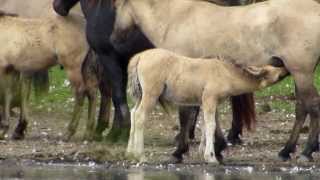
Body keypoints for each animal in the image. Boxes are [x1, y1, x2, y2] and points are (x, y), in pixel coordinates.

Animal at [0, 10, 111, 141]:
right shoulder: (10, 69)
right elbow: (9, 95)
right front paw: (10, 130)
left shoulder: (4, 68)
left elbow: (4, 96)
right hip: (87, 67)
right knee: (92, 92)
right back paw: (88, 133)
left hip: (72, 67)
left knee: (80, 92)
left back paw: (69, 132)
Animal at [127, 47, 288, 163]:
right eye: (271, 71)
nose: (285, 69)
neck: (226, 73)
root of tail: (139, 57)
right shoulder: (209, 98)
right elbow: (211, 125)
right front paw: (210, 157)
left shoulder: (208, 102)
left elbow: (206, 125)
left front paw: (204, 152)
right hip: (151, 95)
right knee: (140, 116)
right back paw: (140, 155)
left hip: (140, 95)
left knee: (133, 113)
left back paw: (130, 153)